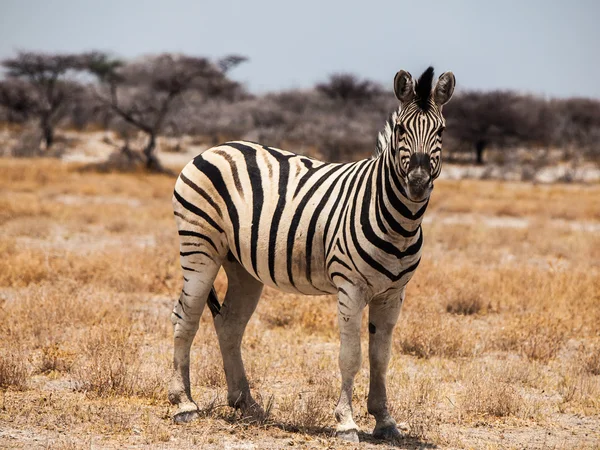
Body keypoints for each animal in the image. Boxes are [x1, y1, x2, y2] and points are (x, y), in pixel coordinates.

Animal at [169, 67, 454, 442]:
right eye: (401, 130)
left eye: (441, 131)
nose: (418, 183)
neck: (399, 220)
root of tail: (215, 148)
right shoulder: (351, 287)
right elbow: (351, 356)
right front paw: (346, 423)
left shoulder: (393, 293)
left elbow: (381, 357)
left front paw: (385, 420)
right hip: (199, 246)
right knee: (184, 317)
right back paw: (184, 404)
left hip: (242, 266)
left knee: (229, 324)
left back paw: (246, 403)